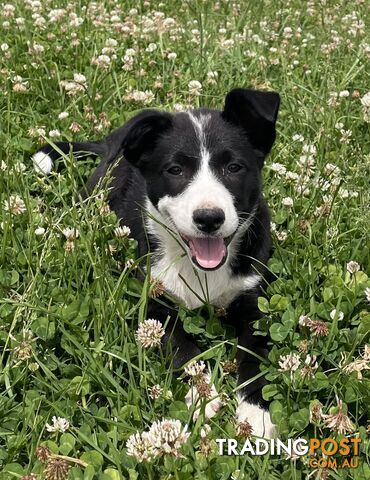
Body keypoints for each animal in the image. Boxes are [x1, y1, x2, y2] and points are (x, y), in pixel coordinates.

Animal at [32, 89, 280, 438]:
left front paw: (256, 412)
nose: (209, 218)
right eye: (174, 170)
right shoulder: (151, 301)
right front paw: (203, 394)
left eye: (234, 167)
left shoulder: (253, 298)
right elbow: (181, 347)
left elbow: (256, 355)